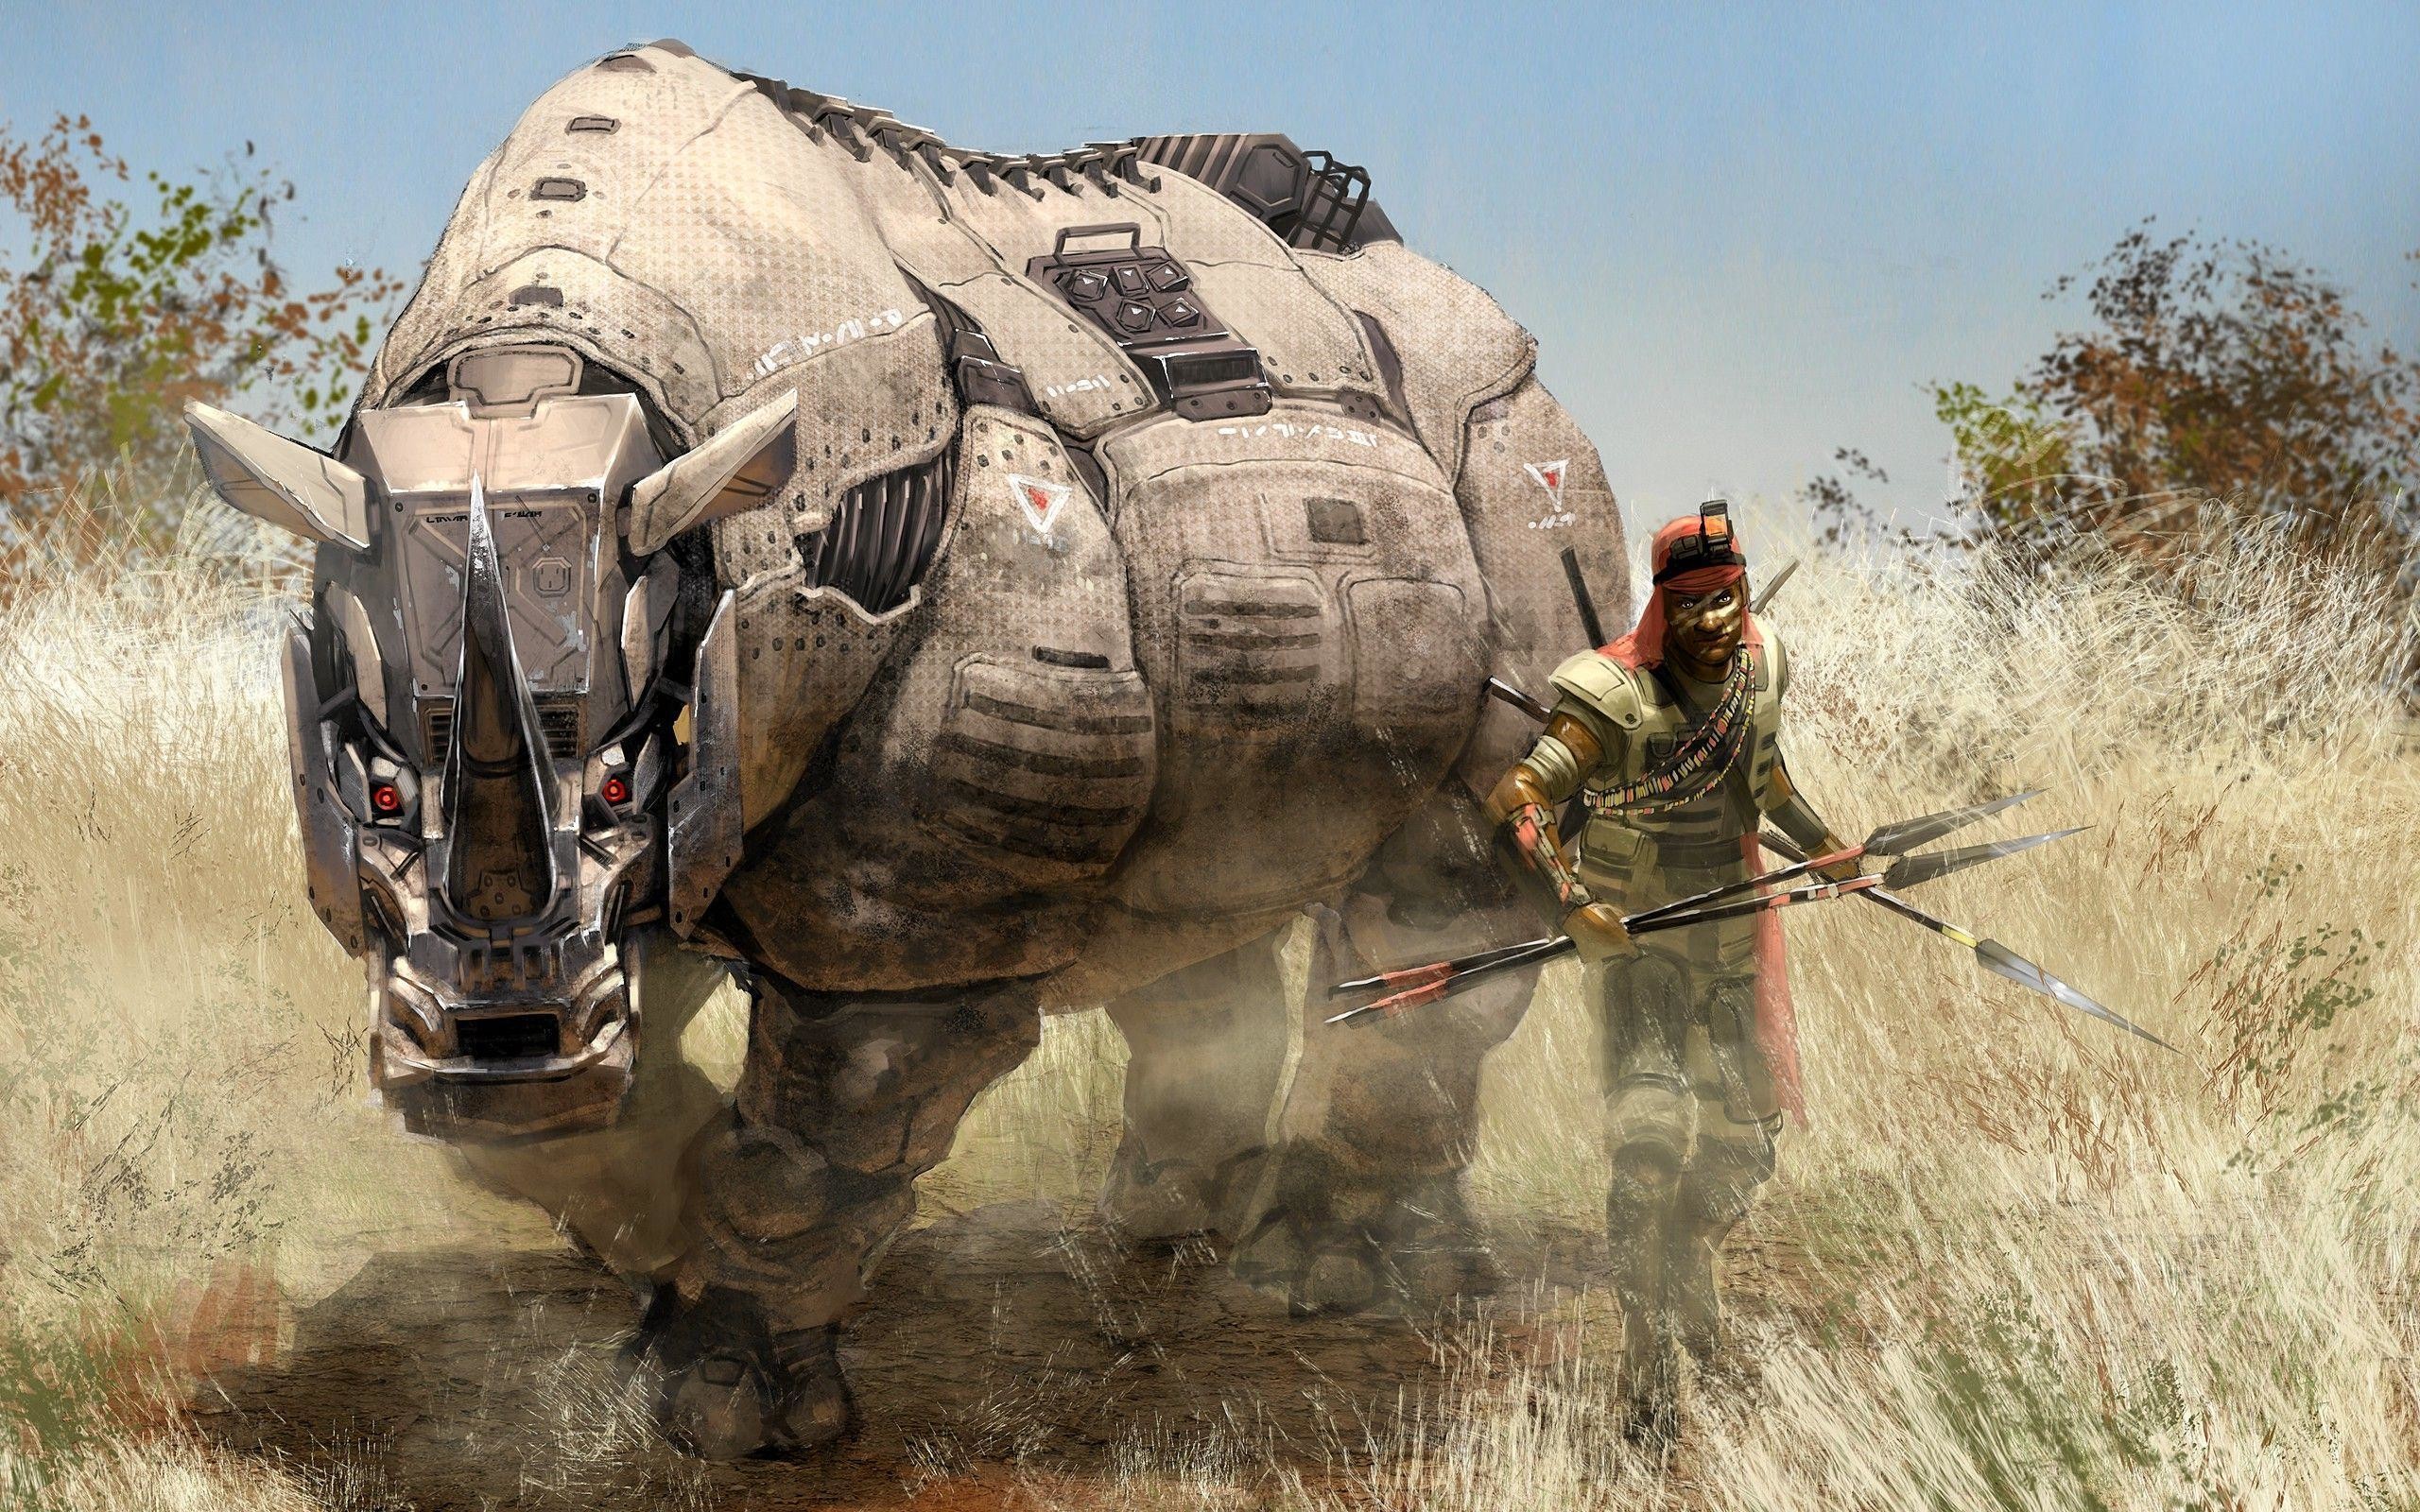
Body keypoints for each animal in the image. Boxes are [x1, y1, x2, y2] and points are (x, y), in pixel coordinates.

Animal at [188, 40, 1631, 1457]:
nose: (504, 1042)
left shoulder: (907, 902)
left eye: (618, 778)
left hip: (1514, 456)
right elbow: (557, 1120)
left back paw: (1327, 1280)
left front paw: (729, 1405)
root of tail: (1436, 285)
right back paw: (1175, 1227)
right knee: (1195, 887)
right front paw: (653, 1251)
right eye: (378, 791)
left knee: (1449, 874)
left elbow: (845, 1102)